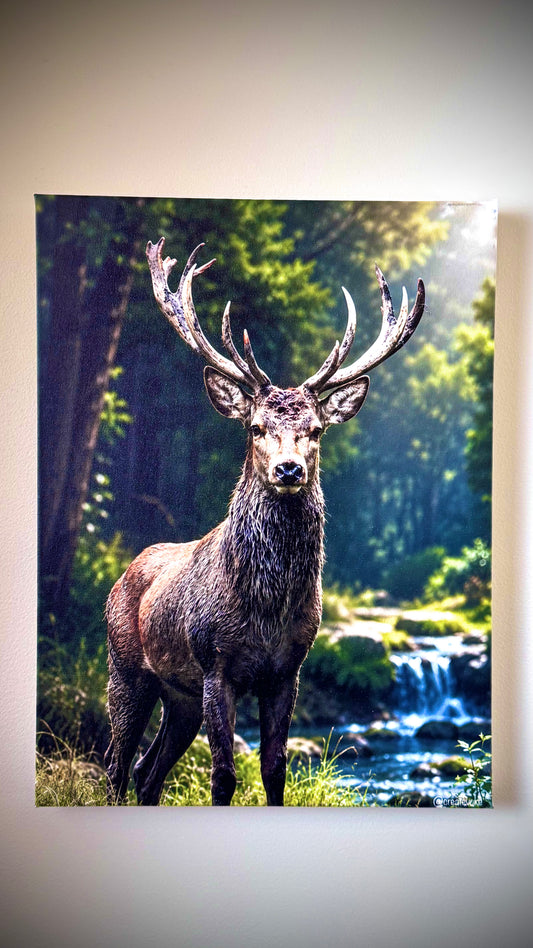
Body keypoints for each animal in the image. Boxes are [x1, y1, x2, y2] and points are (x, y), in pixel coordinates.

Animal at [105, 237, 425, 806]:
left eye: (316, 429)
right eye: (255, 427)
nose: (288, 469)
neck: (266, 610)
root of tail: (120, 578)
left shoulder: (287, 670)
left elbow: (275, 768)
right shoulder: (215, 662)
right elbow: (224, 775)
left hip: (177, 693)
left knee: (148, 770)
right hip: (126, 669)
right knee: (117, 765)